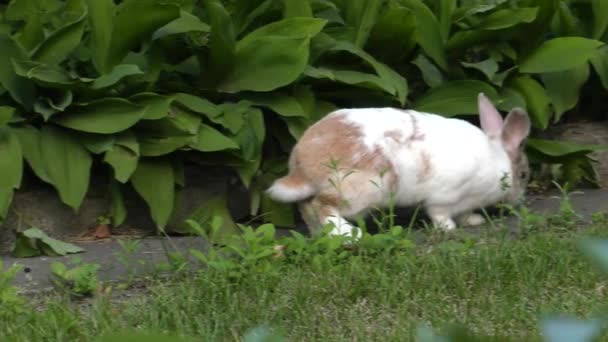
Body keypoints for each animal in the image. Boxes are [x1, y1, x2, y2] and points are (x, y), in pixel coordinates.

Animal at [266, 92, 532, 239]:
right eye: (524, 175)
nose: (520, 200)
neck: (496, 160)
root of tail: (302, 165)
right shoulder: (444, 197)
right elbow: (439, 214)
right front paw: (449, 228)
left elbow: (466, 213)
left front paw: (474, 220)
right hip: (361, 192)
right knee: (321, 206)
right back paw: (350, 235)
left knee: (307, 207)